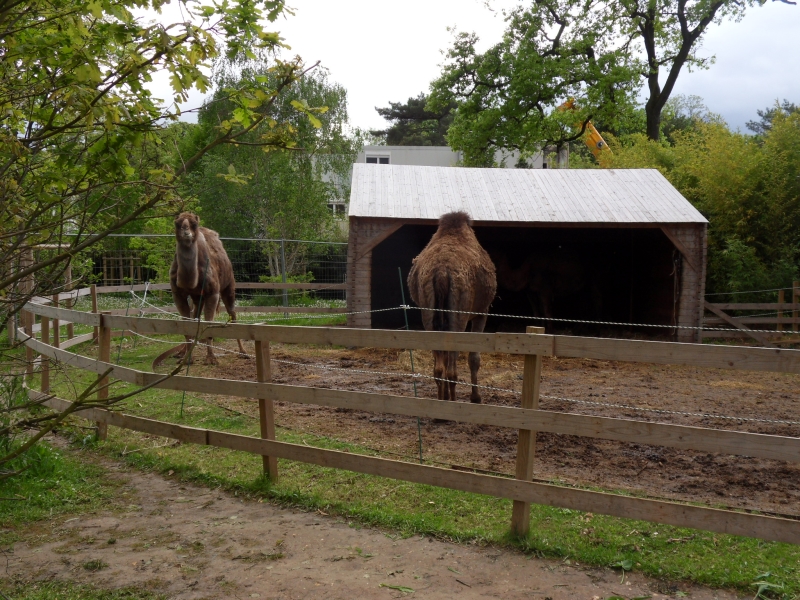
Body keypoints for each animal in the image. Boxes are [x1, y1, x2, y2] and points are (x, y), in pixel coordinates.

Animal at [156, 212, 246, 366]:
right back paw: (182, 352)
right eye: (177, 223)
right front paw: (186, 359)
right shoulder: (178, 295)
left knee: (232, 314)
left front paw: (211, 359)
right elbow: (187, 326)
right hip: (198, 296)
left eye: (194, 224)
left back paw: (243, 352)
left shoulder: (212, 293)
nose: (186, 232)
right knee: (195, 316)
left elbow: (208, 324)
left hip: (228, 286)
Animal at [407, 211, 497, 403]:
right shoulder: (482, 311)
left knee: (439, 367)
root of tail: (441, 272)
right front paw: (476, 397)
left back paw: (443, 398)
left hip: (428, 311)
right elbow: (474, 358)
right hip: (459, 314)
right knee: (452, 369)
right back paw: (454, 401)